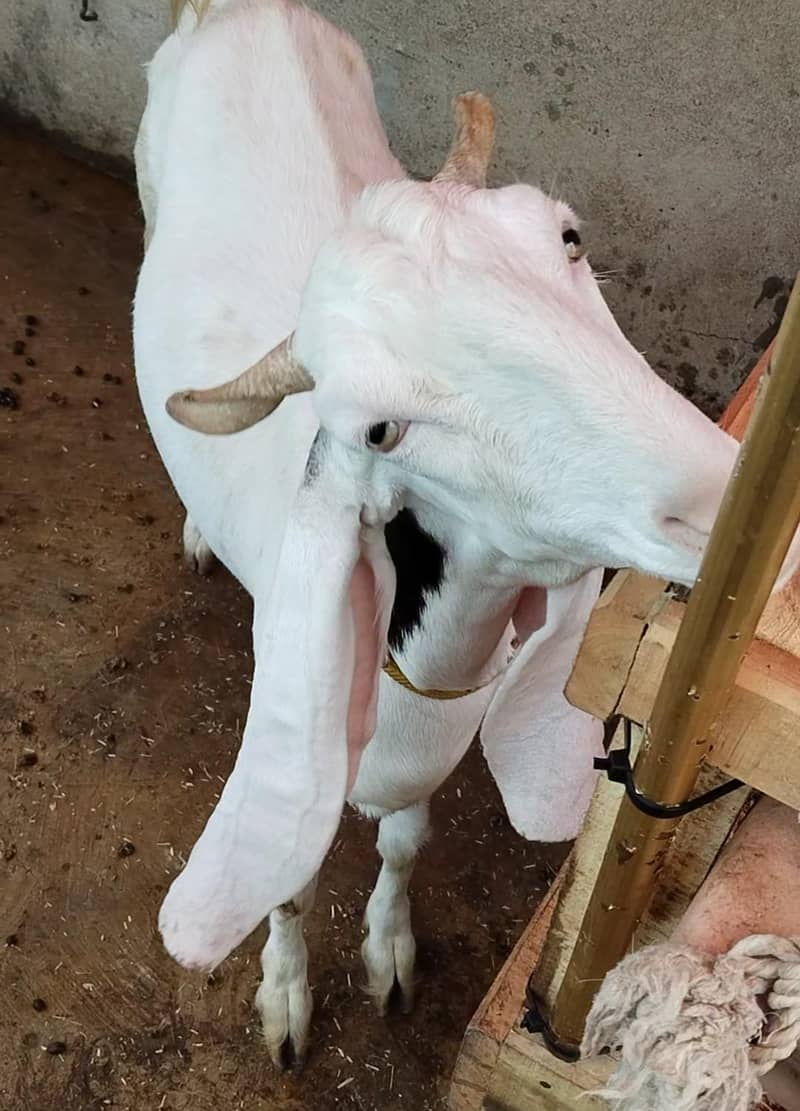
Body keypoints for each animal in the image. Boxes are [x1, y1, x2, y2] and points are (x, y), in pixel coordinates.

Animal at [133, 0, 798, 1067]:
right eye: (379, 429)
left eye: (569, 237)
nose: (725, 507)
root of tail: (238, 9)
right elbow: (290, 879)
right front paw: (286, 999)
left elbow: (406, 843)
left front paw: (391, 953)